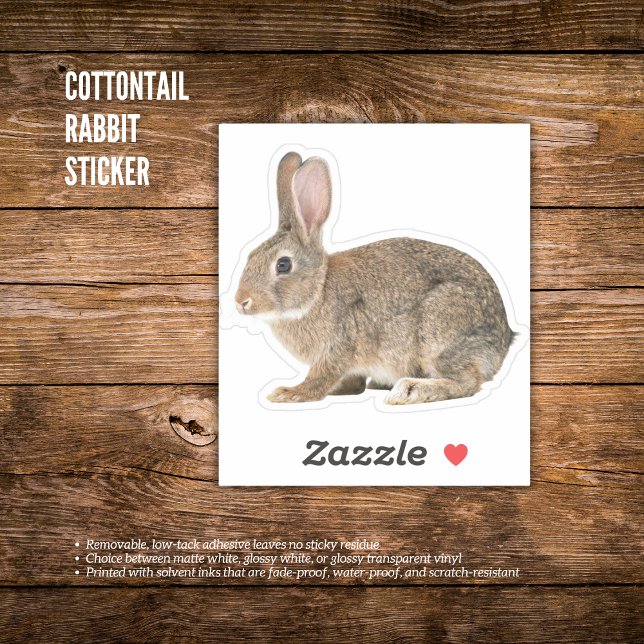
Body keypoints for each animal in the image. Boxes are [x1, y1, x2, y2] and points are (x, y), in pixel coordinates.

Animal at [234, 151, 515, 404]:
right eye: (250, 256)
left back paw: (409, 390)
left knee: (467, 382)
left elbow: (320, 377)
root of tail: (504, 339)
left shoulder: (338, 346)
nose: (241, 302)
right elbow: (351, 381)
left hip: (439, 333)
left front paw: (289, 393)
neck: (318, 290)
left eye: (283, 265)